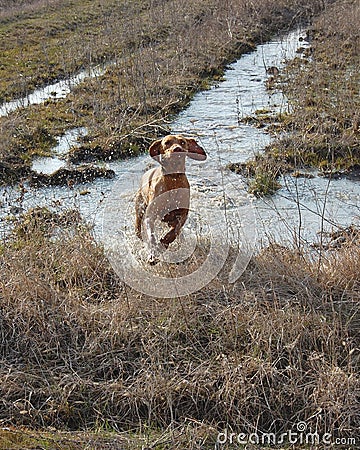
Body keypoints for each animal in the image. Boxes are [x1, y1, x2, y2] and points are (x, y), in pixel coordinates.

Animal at [135, 134, 207, 264]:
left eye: (183, 142)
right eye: (167, 142)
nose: (177, 149)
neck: (173, 180)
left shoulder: (182, 214)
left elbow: (174, 231)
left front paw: (163, 244)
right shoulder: (150, 215)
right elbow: (151, 236)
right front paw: (153, 253)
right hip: (139, 210)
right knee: (138, 229)